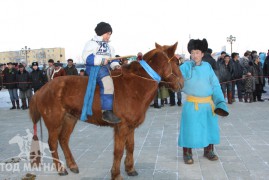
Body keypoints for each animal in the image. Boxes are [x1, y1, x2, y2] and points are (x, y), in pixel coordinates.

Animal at [29, 42, 183, 180]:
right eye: (176, 62)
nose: (182, 83)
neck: (134, 85)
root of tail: (41, 90)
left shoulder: (130, 127)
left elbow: (130, 147)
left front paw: (130, 169)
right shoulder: (121, 127)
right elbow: (118, 151)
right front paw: (116, 174)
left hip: (70, 119)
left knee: (63, 140)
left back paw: (72, 165)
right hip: (54, 123)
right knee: (53, 143)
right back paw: (61, 169)